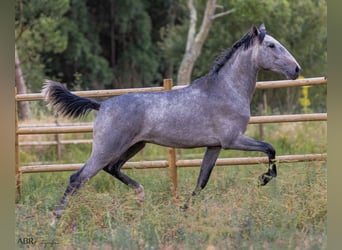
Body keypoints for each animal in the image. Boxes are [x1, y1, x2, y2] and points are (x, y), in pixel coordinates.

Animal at [43, 24, 302, 218]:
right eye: (271, 45)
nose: (296, 69)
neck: (227, 89)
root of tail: (102, 105)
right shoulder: (233, 140)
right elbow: (270, 148)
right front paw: (263, 179)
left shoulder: (214, 146)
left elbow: (201, 181)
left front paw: (184, 211)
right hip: (107, 148)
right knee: (78, 178)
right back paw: (55, 221)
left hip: (134, 146)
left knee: (112, 168)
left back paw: (140, 195)